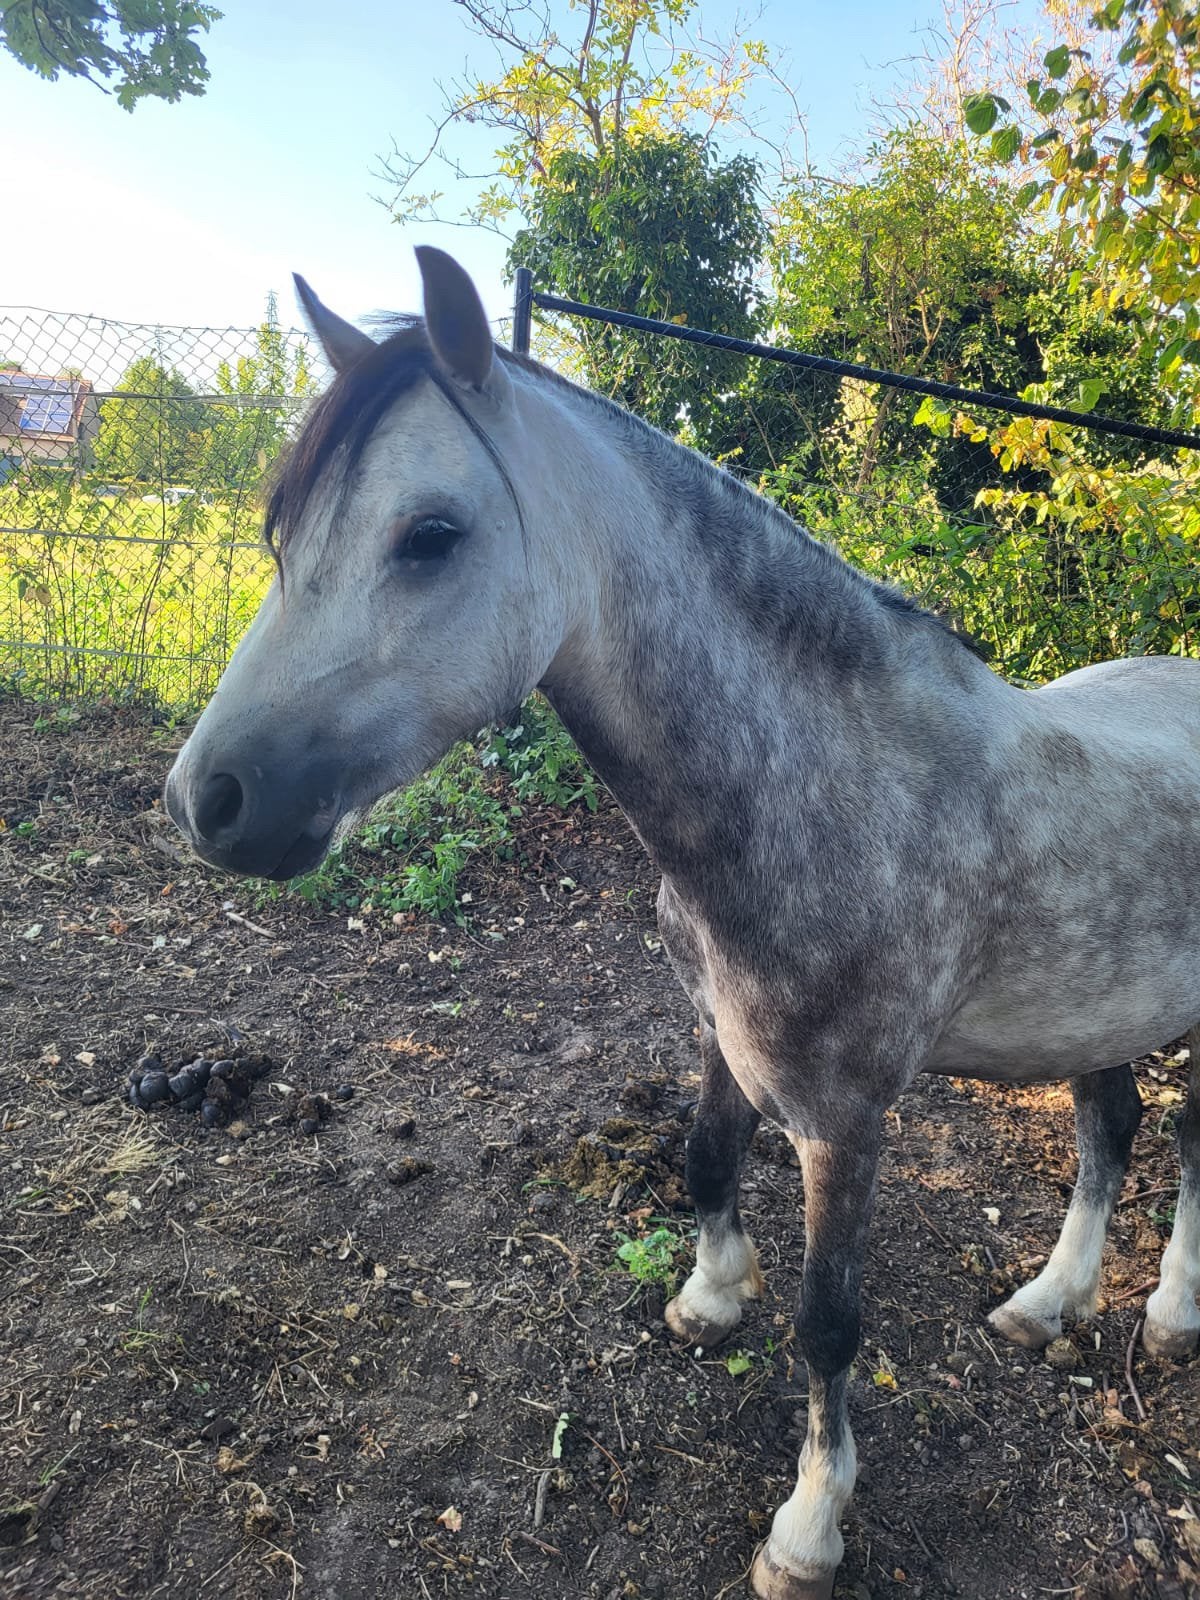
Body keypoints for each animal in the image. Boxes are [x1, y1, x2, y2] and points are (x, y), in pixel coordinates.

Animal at [165, 247, 1200, 1600]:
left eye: (431, 534)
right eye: (284, 533)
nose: (207, 800)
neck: (827, 783)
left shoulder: (845, 1120)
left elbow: (829, 1325)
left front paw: (809, 1526)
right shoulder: (718, 1033)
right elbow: (704, 1161)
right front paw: (710, 1297)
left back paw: (1171, 1315)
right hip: (1093, 1013)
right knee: (1111, 1125)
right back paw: (1048, 1302)